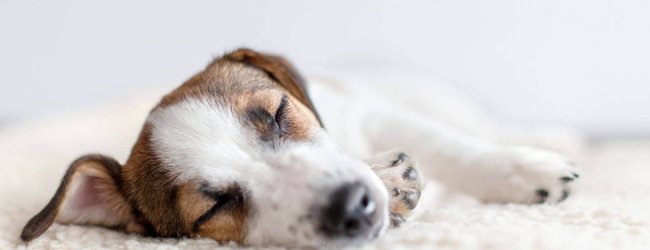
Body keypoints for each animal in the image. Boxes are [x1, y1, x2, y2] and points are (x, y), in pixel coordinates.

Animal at [20, 47, 576, 247]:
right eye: (214, 207)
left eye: (278, 113)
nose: (353, 206)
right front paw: (392, 184)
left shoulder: (373, 112)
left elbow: (455, 150)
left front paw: (531, 174)